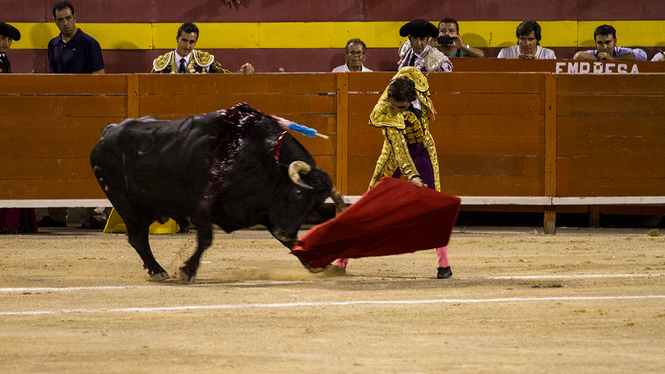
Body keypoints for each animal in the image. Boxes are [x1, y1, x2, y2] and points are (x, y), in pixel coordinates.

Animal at [89, 103, 332, 282]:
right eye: (298, 194)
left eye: (314, 206)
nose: (286, 231)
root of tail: (108, 131)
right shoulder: (203, 206)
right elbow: (206, 239)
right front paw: (187, 271)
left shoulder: (265, 212)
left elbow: (294, 243)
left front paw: (317, 264)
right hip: (123, 200)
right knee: (138, 237)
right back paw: (158, 271)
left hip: (149, 205)